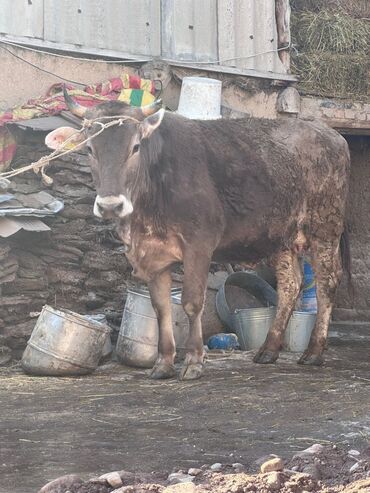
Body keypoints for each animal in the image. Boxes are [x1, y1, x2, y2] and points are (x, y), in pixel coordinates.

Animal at [46, 95, 350, 380]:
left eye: (135, 147)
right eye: (89, 149)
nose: (110, 205)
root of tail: (329, 133)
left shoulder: (199, 245)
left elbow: (192, 303)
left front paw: (193, 361)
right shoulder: (152, 254)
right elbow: (161, 308)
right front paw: (163, 363)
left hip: (325, 226)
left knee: (327, 282)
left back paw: (313, 352)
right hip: (281, 235)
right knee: (290, 283)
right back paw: (268, 349)